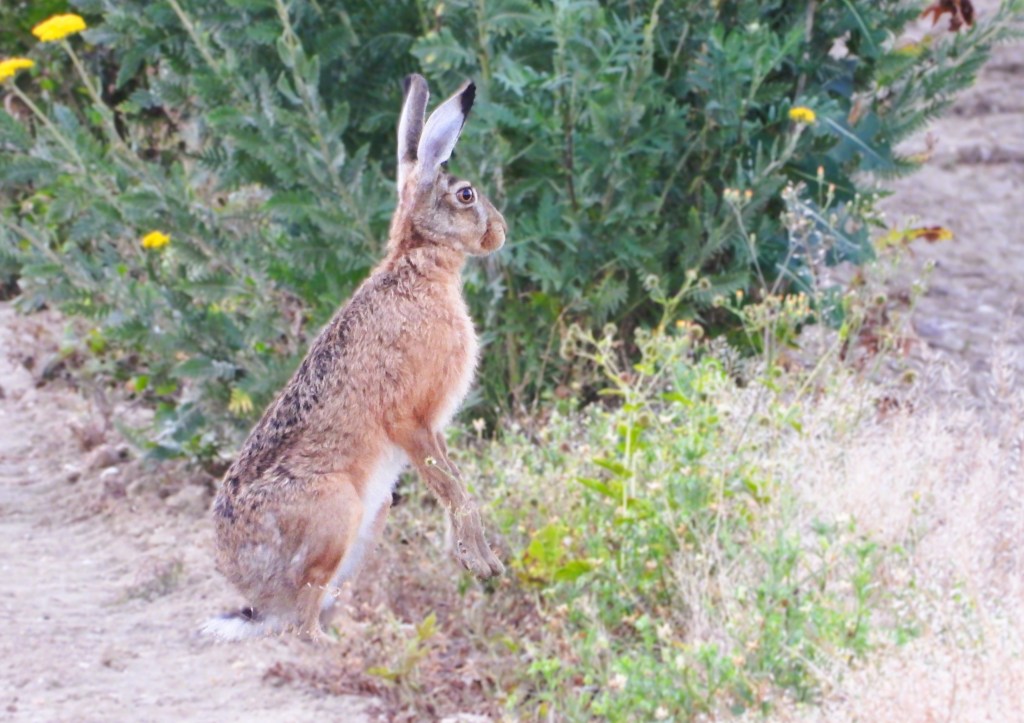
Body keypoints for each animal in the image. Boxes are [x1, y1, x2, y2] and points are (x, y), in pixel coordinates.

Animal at [201, 74, 506, 642]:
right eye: (466, 195)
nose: (499, 233)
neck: (416, 266)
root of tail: (255, 597)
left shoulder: (431, 427)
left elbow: (456, 484)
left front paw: (483, 562)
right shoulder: (410, 418)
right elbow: (454, 491)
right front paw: (483, 566)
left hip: (372, 514)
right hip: (336, 508)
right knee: (300, 622)